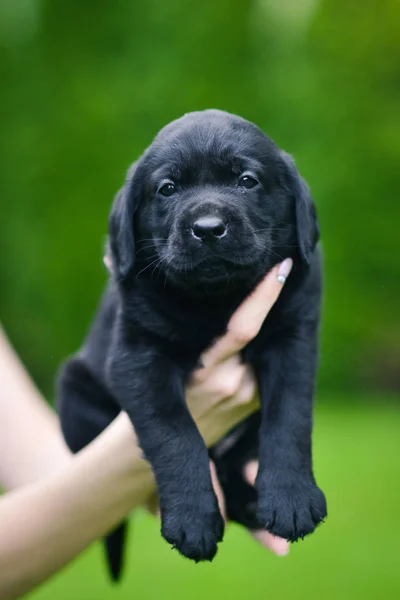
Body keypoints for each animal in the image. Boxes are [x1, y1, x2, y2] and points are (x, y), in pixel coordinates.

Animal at [60, 109, 328, 580]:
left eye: (247, 180)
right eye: (167, 188)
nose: (208, 229)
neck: (215, 300)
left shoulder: (294, 339)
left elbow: (288, 417)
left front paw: (292, 498)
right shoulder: (138, 356)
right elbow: (174, 430)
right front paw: (192, 519)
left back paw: (255, 503)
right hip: (74, 388)